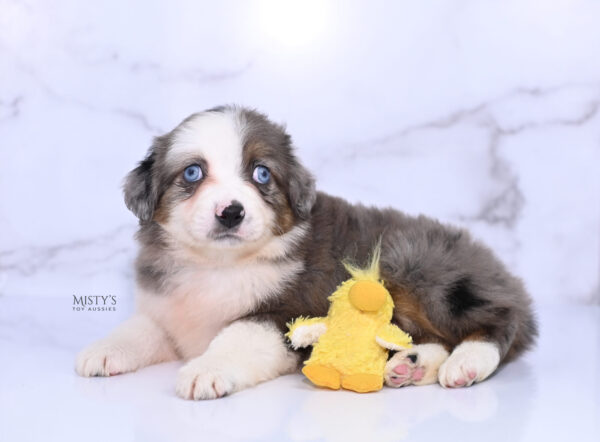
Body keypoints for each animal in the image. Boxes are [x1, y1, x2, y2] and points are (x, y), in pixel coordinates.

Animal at [75, 105, 540, 398]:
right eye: (192, 173)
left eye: (262, 174)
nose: (231, 212)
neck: (219, 265)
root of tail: (501, 270)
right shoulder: (169, 310)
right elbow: (141, 328)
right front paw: (102, 350)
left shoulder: (286, 311)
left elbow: (238, 335)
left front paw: (206, 370)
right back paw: (412, 365)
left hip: (418, 265)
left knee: (501, 319)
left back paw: (469, 361)